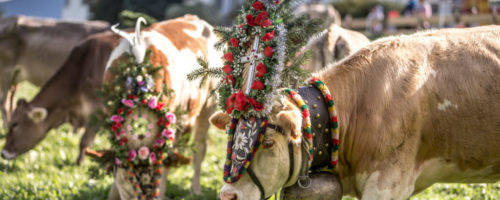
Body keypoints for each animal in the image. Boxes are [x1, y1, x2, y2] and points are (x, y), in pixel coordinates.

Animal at [1, 14, 221, 195]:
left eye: (15, 125)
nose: (4, 152)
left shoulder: (97, 112)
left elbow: (84, 142)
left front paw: (79, 163)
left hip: (207, 106)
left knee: (199, 149)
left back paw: (195, 189)